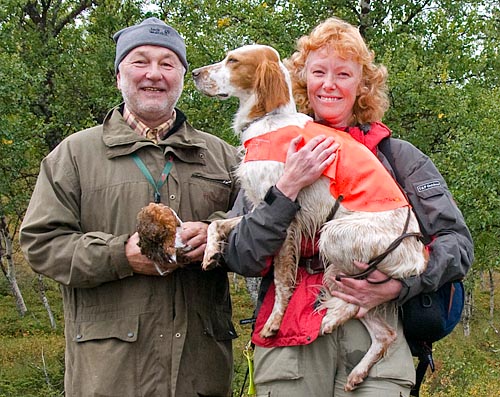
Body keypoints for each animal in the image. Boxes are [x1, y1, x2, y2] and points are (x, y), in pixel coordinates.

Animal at [191, 44, 426, 388]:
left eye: (232, 60)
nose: (194, 73)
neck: (270, 119)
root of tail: (418, 255)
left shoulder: (287, 220)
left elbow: (281, 281)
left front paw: (274, 323)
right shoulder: (262, 206)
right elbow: (218, 223)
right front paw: (210, 253)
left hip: (334, 236)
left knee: (355, 302)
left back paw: (331, 317)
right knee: (382, 332)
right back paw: (356, 371)